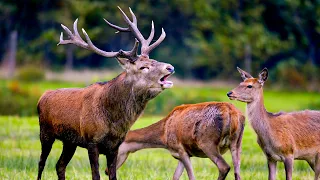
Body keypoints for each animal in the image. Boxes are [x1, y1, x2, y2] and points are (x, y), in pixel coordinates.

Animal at [36, 6, 174, 180]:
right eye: (143, 67)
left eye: (153, 60)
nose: (170, 67)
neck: (113, 121)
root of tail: (42, 96)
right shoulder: (92, 141)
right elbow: (96, 175)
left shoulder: (115, 145)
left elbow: (113, 176)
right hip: (45, 132)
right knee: (41, 163)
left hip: (69, 141)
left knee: (59, 165)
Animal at [106, 102, 244, 179]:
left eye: (115, 149)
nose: (107, 171)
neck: (163, 136)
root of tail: (233, 114)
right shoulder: (183, 153)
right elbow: (175, 176)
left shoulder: (180, 149)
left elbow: (191, 177)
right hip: (237, 144)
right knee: (237, 172)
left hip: (207, 142)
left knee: (224, 167)